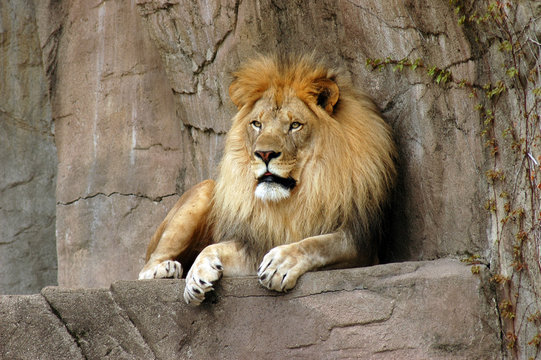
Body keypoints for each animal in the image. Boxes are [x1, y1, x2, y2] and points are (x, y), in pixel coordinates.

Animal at [137, 53, 394, 306]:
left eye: (295, 125)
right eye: (257, 124)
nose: (264, 154)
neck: (298, 195)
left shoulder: (361, 242)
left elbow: (318, 244)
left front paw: (280, 264)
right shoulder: (255, 242)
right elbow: (212, 247)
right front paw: (196, 276)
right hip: (205, 190)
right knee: (144, 268)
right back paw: (164, 269)